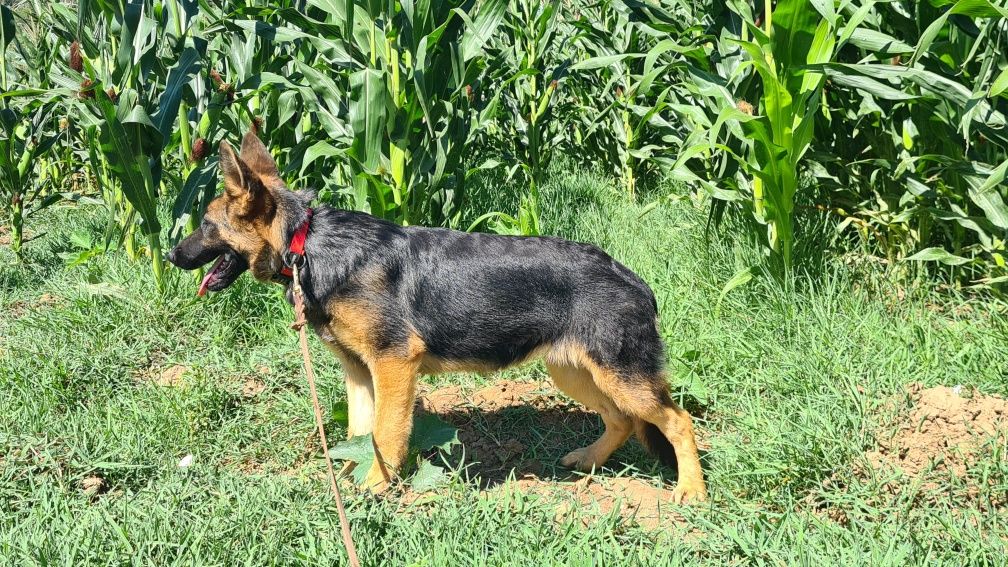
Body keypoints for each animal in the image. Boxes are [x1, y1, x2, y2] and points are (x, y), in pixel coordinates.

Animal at [167, 131, 709, 498]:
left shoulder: (394, 364)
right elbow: (360, 433)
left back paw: (691, 492)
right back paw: (590, 459)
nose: (171, 255)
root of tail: (634, 279)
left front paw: (376, 486)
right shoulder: (359, 372)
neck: (307, 243)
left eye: (206, 225)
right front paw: (352, 476)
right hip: (575, 372)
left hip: (620, 377)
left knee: (678, 421)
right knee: (621, 421)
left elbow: (387, 432)